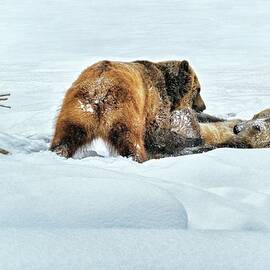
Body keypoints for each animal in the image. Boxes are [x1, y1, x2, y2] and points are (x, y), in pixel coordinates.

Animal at [50, 59, 205, 160]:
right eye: (198, 89)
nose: (203, 106)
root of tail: (99, 89)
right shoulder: (155, 100)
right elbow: (157, 133)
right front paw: (193, 140)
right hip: (125, 110)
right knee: (131, 139)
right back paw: (137, 157)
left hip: (77, 110)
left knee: (66, 135)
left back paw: (58, 152)